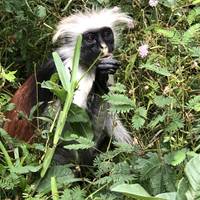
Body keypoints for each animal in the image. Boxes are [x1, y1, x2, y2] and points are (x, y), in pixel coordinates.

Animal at [3, 7, 133, 153]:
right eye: (90, 38)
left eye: (106, 34)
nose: (103, 47)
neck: (82, 62)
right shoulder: (71, 72)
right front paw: (99, 79)